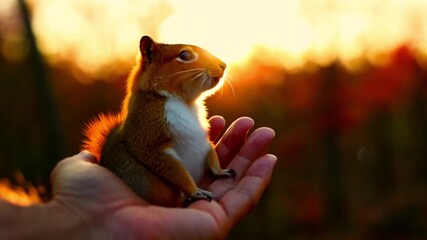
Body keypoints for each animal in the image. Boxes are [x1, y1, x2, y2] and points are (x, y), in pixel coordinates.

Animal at [82, 35, 236, 206]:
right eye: (185, 55)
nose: (223, 65)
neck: (184, 102)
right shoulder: (148, 136)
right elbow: (172, 170)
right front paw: (196, 191)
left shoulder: (204, 138)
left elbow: (210, 151)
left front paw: (220, 171)